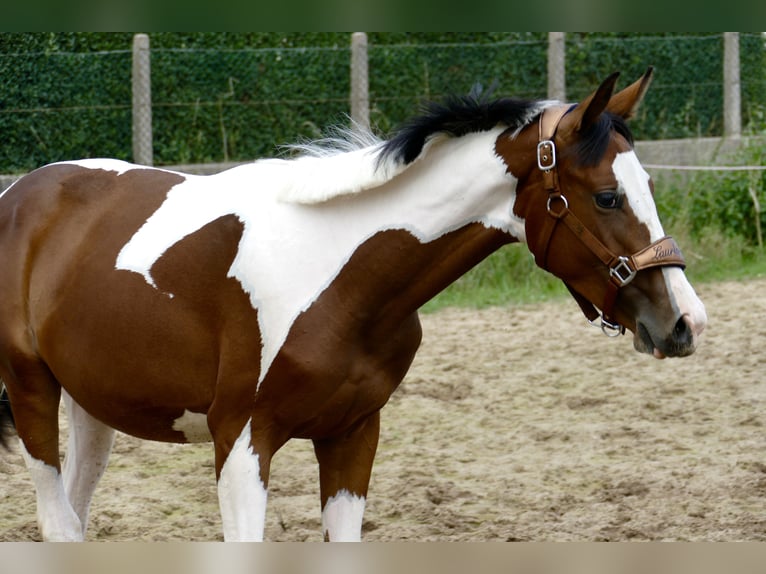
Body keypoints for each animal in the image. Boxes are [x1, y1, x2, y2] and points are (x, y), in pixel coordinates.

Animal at [0, 68, 706, 541]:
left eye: (647, 184)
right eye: (608, 196)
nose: (683, 322)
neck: (339, 276)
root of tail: (21, 192)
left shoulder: (353, 436)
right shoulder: (242, 444)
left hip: (94, 403)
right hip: (32, 389)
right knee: (59, 521)